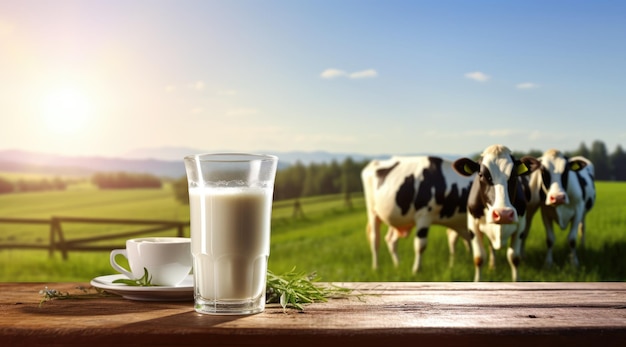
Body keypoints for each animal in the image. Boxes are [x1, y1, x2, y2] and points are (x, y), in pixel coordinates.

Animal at [450, 145, 540, 282]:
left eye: (514, 175)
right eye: (481, 174)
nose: (503, 214)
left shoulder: (521, 225)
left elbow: (514, 258)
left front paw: (517, 280)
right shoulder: (472, 226)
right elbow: (479, 258)